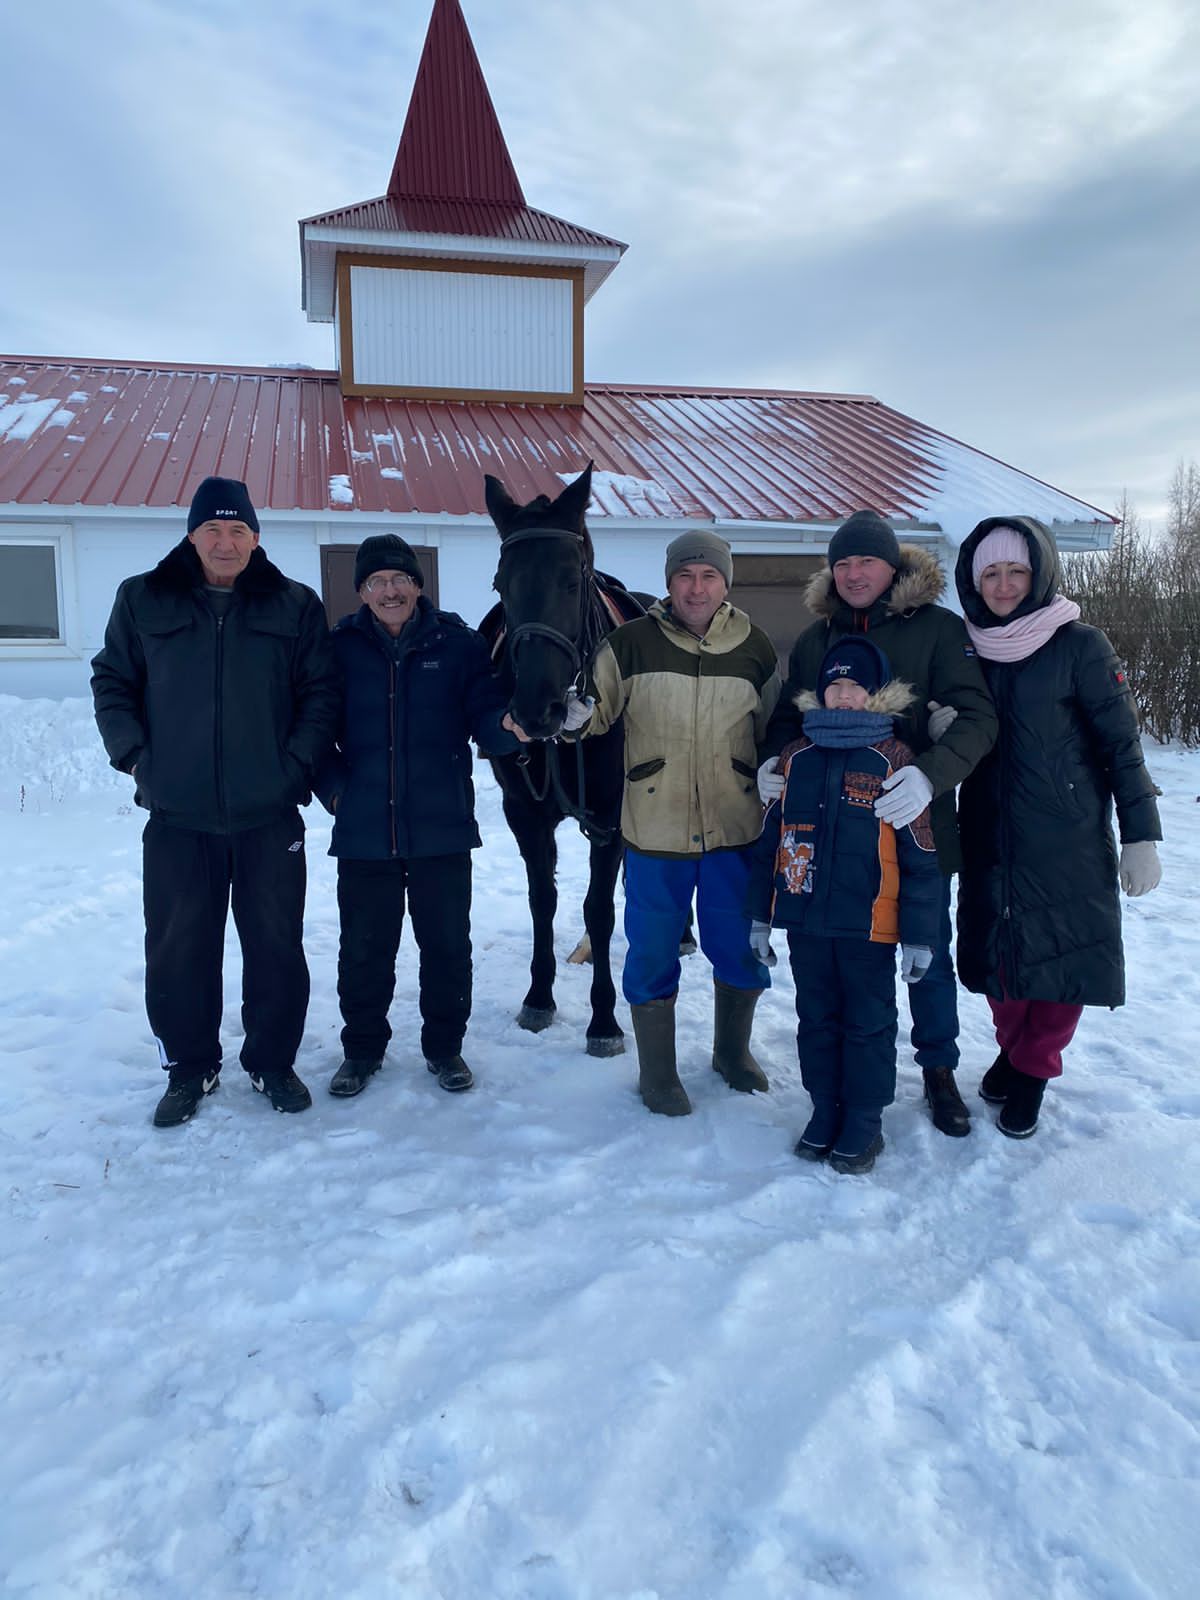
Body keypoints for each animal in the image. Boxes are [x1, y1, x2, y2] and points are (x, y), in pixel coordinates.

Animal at [483, 467, 649, 1062]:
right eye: (501, 584)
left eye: (572, 583)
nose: (537, 710)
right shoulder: (524, 815)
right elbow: (543, 901)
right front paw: (539, 996)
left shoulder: (612, 817)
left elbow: (598, 909)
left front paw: (604, 1020)